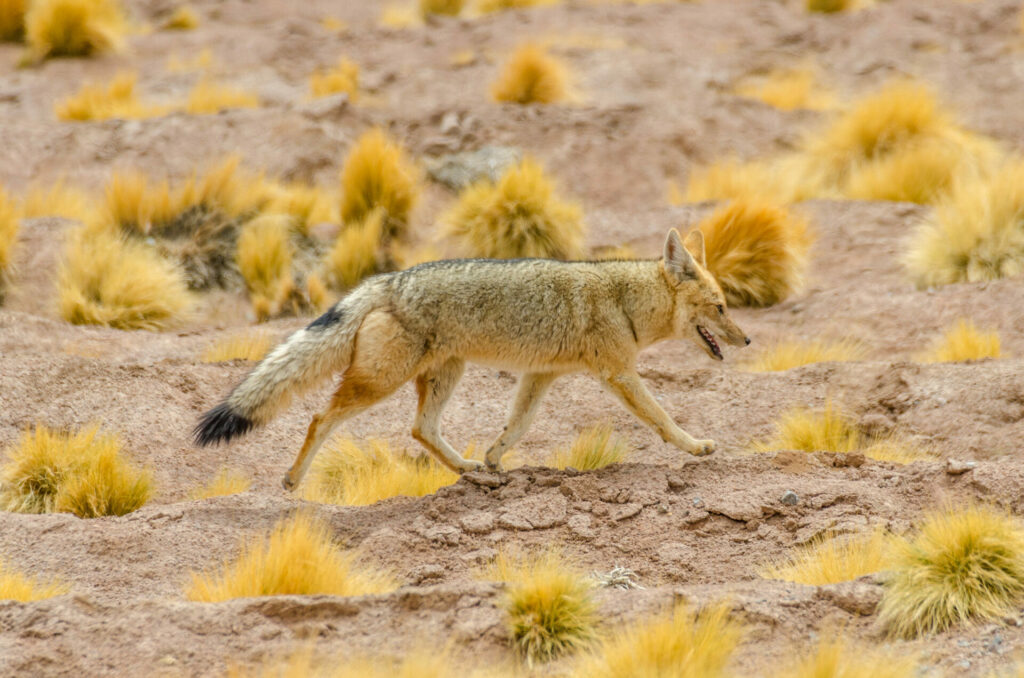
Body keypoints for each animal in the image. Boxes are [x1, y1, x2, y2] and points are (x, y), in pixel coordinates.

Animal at [193, 228, 753, 489]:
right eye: (721, 307)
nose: (747, 341)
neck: (625, 298)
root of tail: (386, 280)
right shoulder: (619, 373)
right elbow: (662, 418)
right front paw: (695, 446)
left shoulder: (540, 375)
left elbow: (517, 424)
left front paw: (493, 457)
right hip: (382, 381)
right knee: (319, 417)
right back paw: (292, 479)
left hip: (445, 374)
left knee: (420, 429)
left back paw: (467, 469)